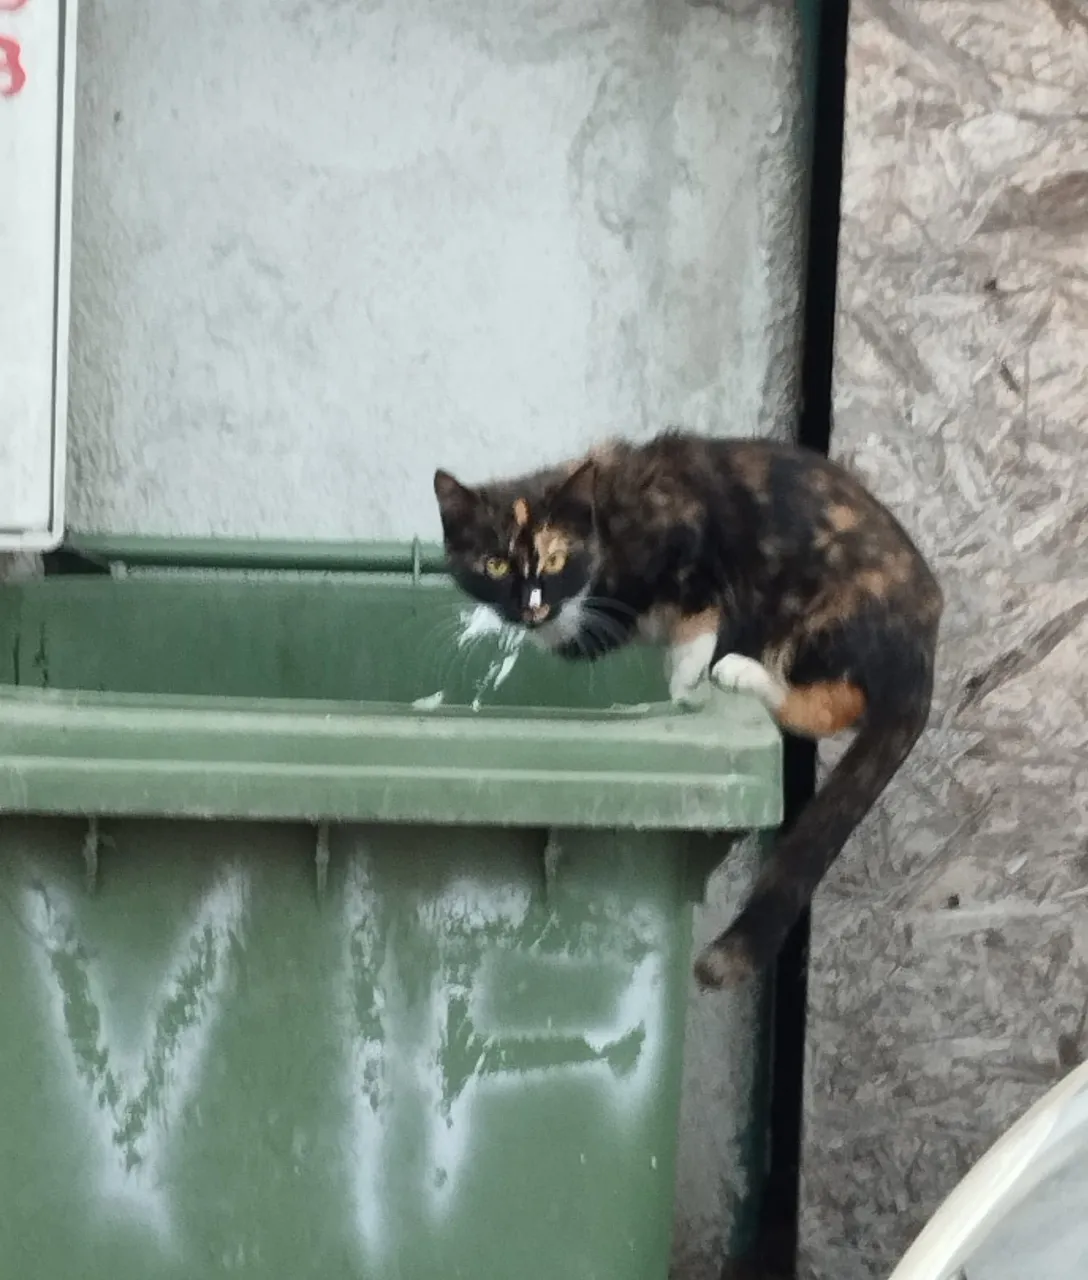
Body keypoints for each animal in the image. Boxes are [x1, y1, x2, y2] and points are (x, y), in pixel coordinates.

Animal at [427, 430, 936, 988]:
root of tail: (924, 642)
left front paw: (682, 684)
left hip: (823, 606)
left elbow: (696, 620)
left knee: (839, 701)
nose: (529, 605)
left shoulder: (694, 545)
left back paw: (743, 674)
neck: (606, 527)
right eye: (494, 565)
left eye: (556, 560)